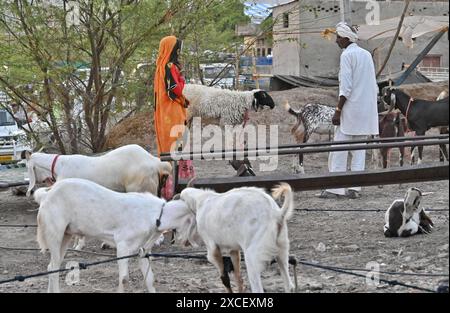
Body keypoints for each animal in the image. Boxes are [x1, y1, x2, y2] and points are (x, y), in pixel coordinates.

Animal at [33, 178, 199, 292]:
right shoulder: (123, 245)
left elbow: (150, 278)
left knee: (52, 266)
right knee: (53, 267)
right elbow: (124, 279)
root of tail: (45, 196)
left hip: (66, 235)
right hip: (54, 233)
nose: (188, 243)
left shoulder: (142, 250)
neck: (157, 215)